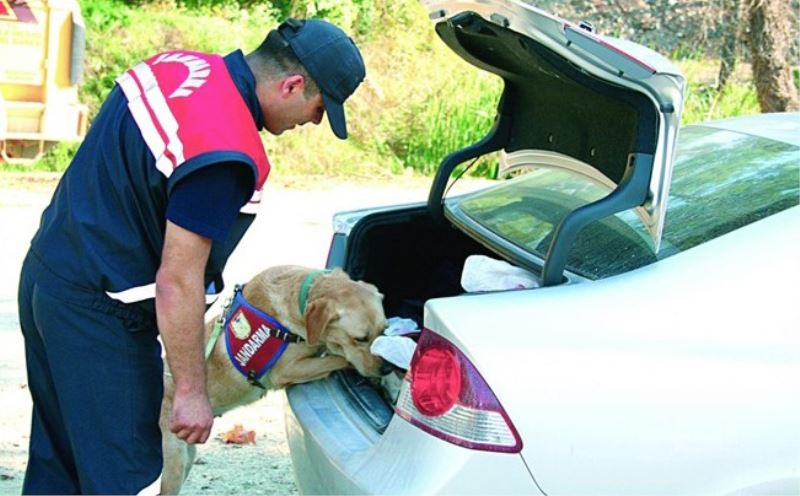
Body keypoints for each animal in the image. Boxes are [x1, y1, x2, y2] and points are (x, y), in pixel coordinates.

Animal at [159, 266, 388, 494]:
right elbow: (339, 359)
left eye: (384, 330)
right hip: (176, 462)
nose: (386, 368)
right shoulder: (288, 370)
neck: (300, 301)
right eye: (360, 338)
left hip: (188, 456)